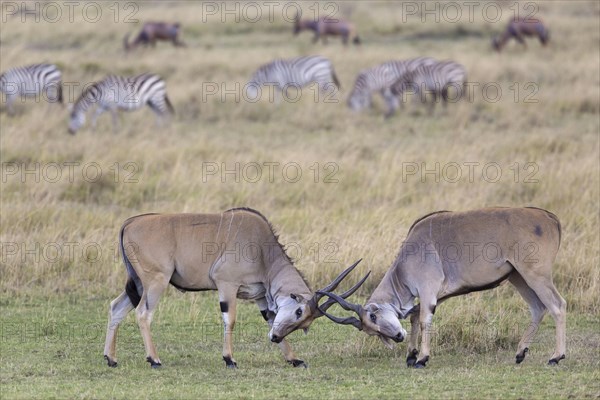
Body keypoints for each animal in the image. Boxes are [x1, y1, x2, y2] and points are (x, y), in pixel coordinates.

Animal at [103, 209, 368, 368]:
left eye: (305, 324)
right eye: (299, 311)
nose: (275, 338)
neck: (262, 250)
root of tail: (130, 222)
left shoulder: (260, 296)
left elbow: (269, 319)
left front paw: (294, 359)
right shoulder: (226, 285)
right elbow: (229, 319)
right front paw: (229, 358)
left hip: (139, 285)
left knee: (116, 307)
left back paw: (111, 358)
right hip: (156, 282)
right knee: (143, 313)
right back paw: (154, 359)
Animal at [318, 208, 568, 368]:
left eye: (373, 316)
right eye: (372, 331)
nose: (398, 337)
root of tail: (550, 217)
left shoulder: (428, 292)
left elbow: (423, 318)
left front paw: (421, 358)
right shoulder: (439, 294)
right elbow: (415, 316)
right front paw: (411, 355)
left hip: (535, 275)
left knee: (557, 305)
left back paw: (556, 357)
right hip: (518, 277)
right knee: (538, 308)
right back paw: (520, 353)